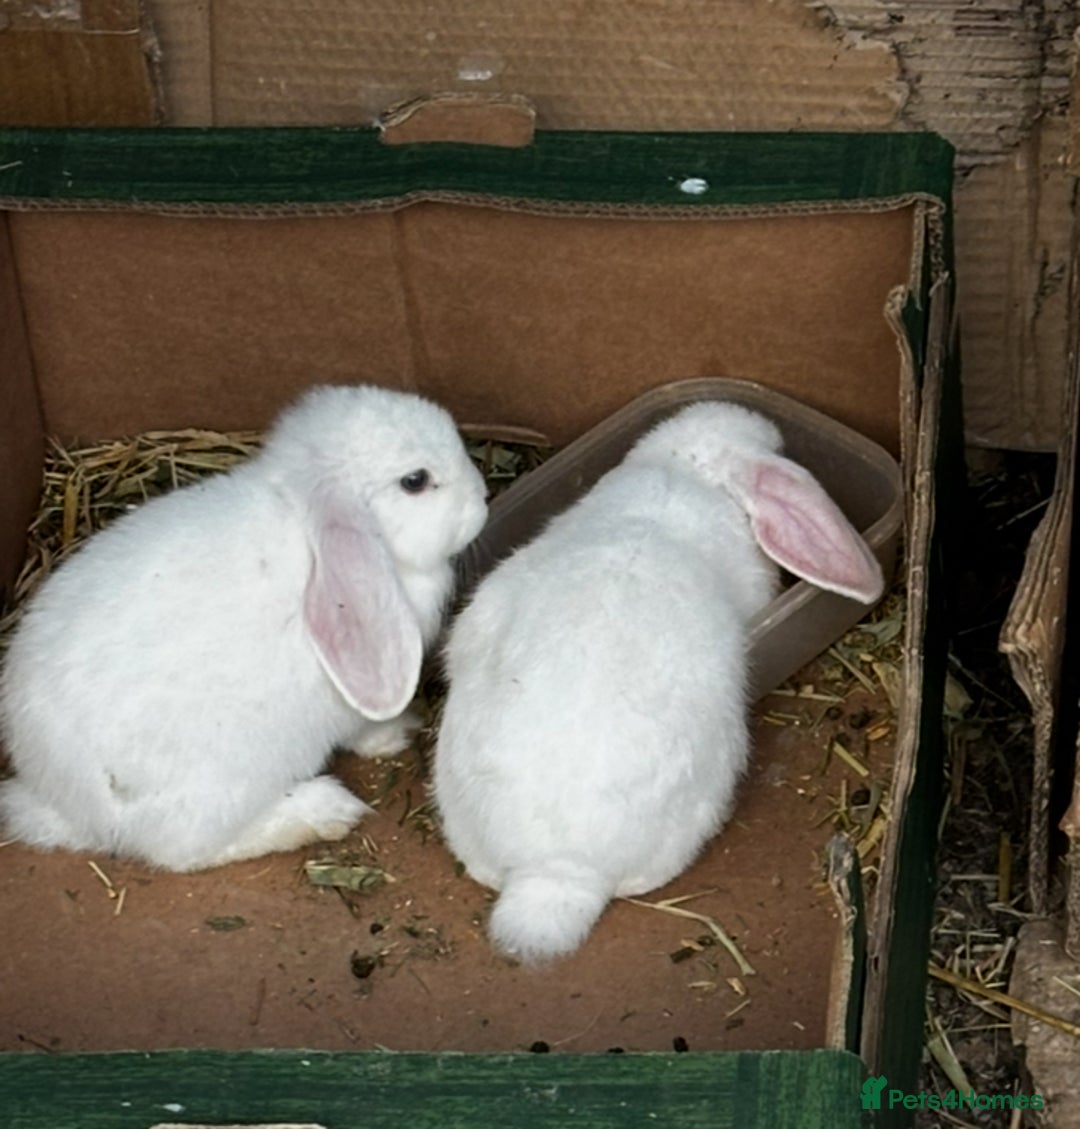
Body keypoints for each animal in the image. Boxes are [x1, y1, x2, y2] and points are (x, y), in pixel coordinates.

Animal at [0, 383, 488, 871]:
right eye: (415, 481)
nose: (482, 498)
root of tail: (64, 803)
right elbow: (366, 724)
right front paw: (398, 731)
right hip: (219, 791)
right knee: (185, 853)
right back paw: (321, 812)